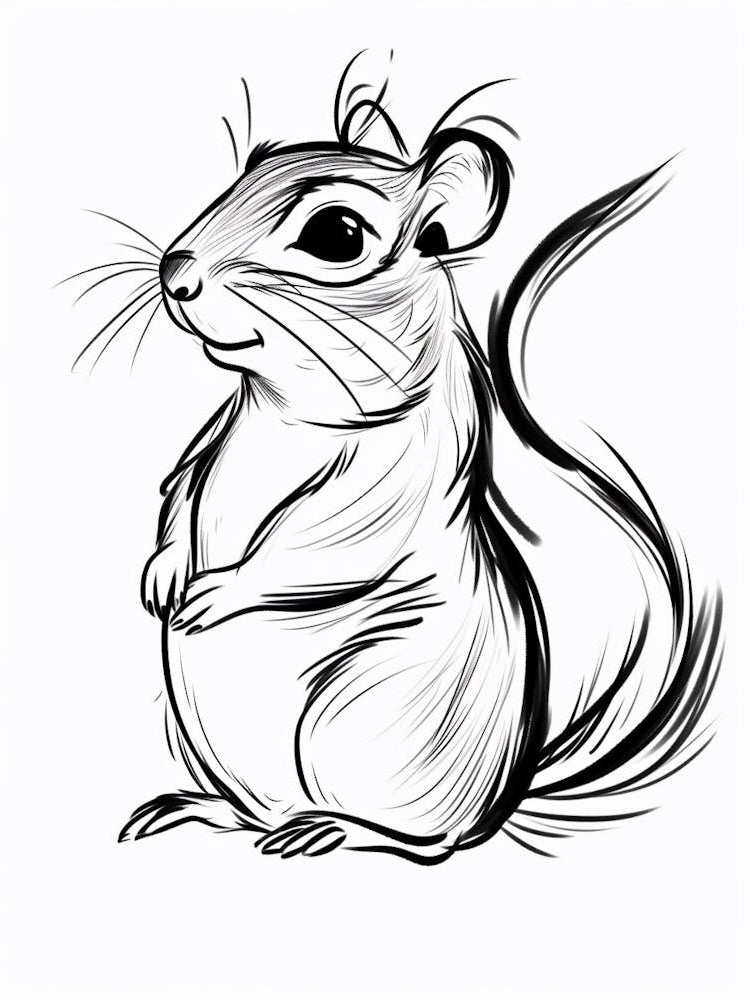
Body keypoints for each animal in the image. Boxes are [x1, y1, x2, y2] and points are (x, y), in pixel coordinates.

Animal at [116, 64, 722, 864]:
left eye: (337, 235)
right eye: (245, 171)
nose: (175, 271)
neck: (284, 408)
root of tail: (497, 800)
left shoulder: (400, 474)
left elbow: (323, 545)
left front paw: (214, 594)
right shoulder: (213, 436)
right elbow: (181, 491)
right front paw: (161, 576)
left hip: (362, 726)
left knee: (420, 843)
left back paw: (329, 827)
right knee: (252, 813)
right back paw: (195, 808)